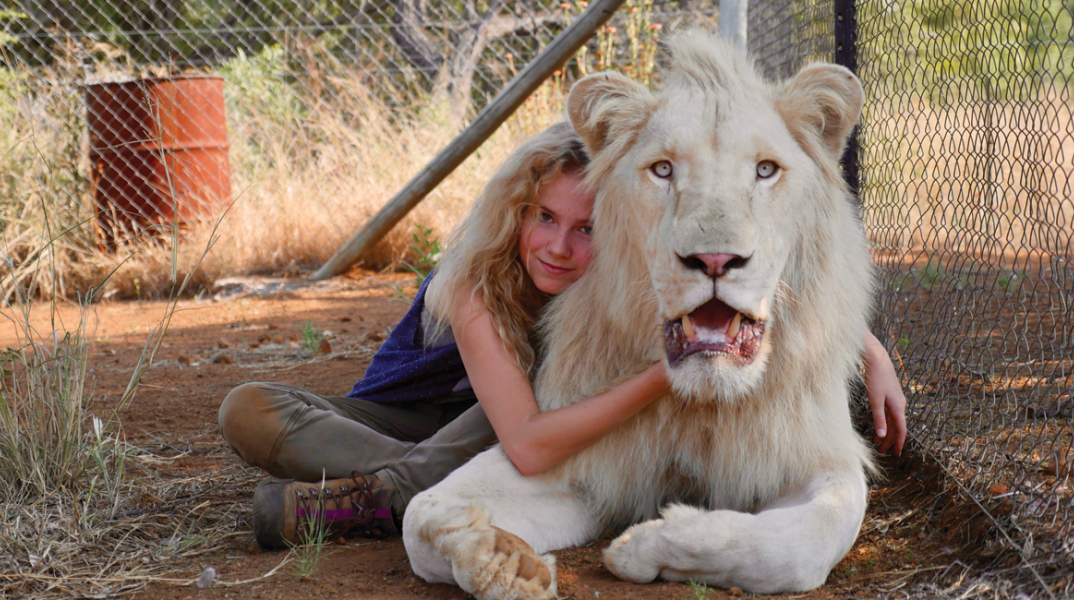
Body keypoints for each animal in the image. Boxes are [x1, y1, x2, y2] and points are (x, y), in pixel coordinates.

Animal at [402, 30, 876, 599]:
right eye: (663, 169)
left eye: (765, 170)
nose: (714, 259)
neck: (701, 404)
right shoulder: (574, 453)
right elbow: (422, 513)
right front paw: (502, 560)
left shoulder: (817, 455)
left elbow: (800, 544)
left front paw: (649, 544)